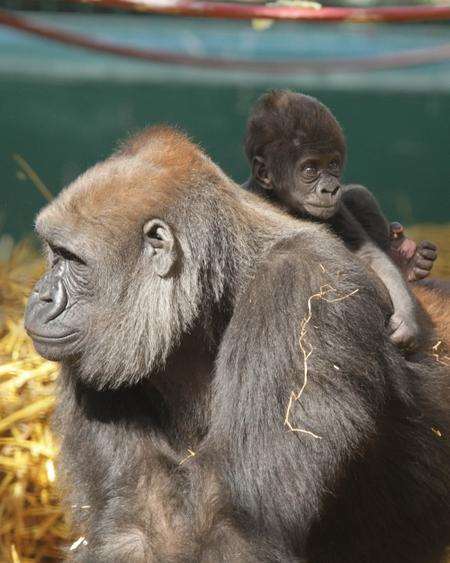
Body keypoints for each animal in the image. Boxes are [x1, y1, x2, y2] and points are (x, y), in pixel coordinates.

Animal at [25, 128, 450, 563]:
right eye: (53, 253)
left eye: (71, 258)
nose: (40, 296)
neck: (215, 290)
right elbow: (139, 525)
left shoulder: (300, 289)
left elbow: (234, 524)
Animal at [244, 90, 430, 348]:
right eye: (310, 170)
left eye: (332, 164)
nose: (331, 189)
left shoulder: (337, 209)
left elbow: (369, 255)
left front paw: (406, 320)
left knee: (358, 194)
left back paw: (407, 260)